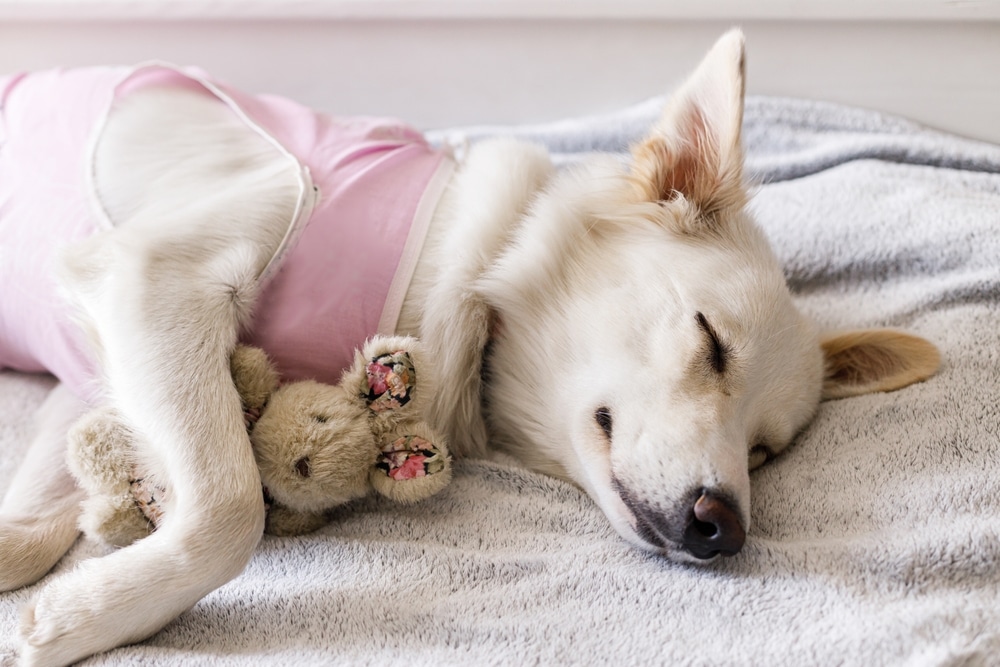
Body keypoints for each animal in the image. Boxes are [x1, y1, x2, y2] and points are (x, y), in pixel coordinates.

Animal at [0, 28, 936, 664]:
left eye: (767, 450)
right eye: (711, 345)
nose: (724, 527)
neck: (462, 274)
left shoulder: (95, 359)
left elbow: (43, 517)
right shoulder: (157, 279)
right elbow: (231, 509)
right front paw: (84, 617)